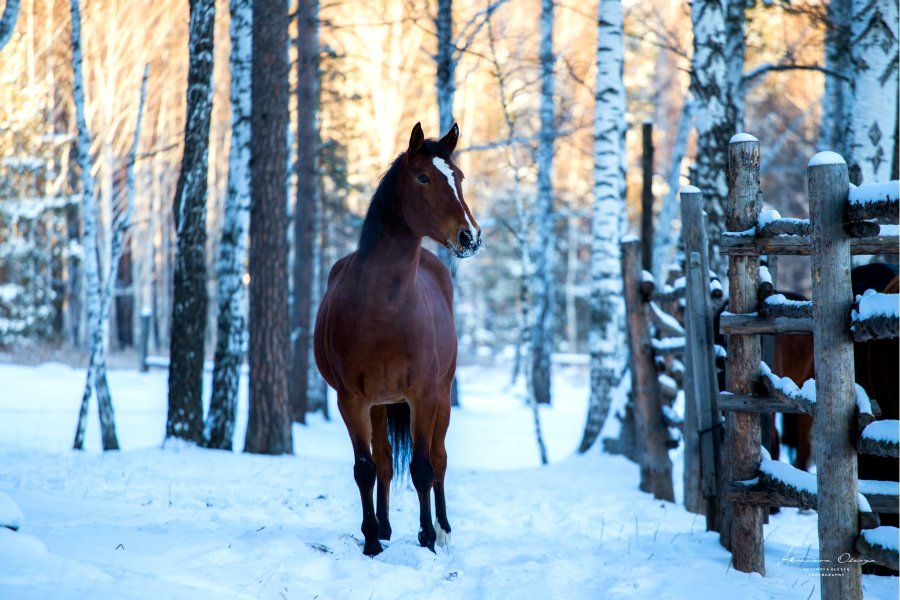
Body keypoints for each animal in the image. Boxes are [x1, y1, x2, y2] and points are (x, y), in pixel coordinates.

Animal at [312, 123, 482, 556]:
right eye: (423, 178)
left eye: (459, 177)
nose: (470, 236)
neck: (384, 311)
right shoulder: (352, 400)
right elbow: (366, 468)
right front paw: (372, 540)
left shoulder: (423, 395)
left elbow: (422, 468)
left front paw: (427, 540)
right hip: (380, 405)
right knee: (386, 463)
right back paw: (386, 529)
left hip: (441, 397)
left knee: (439, 459)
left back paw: (443, 528)